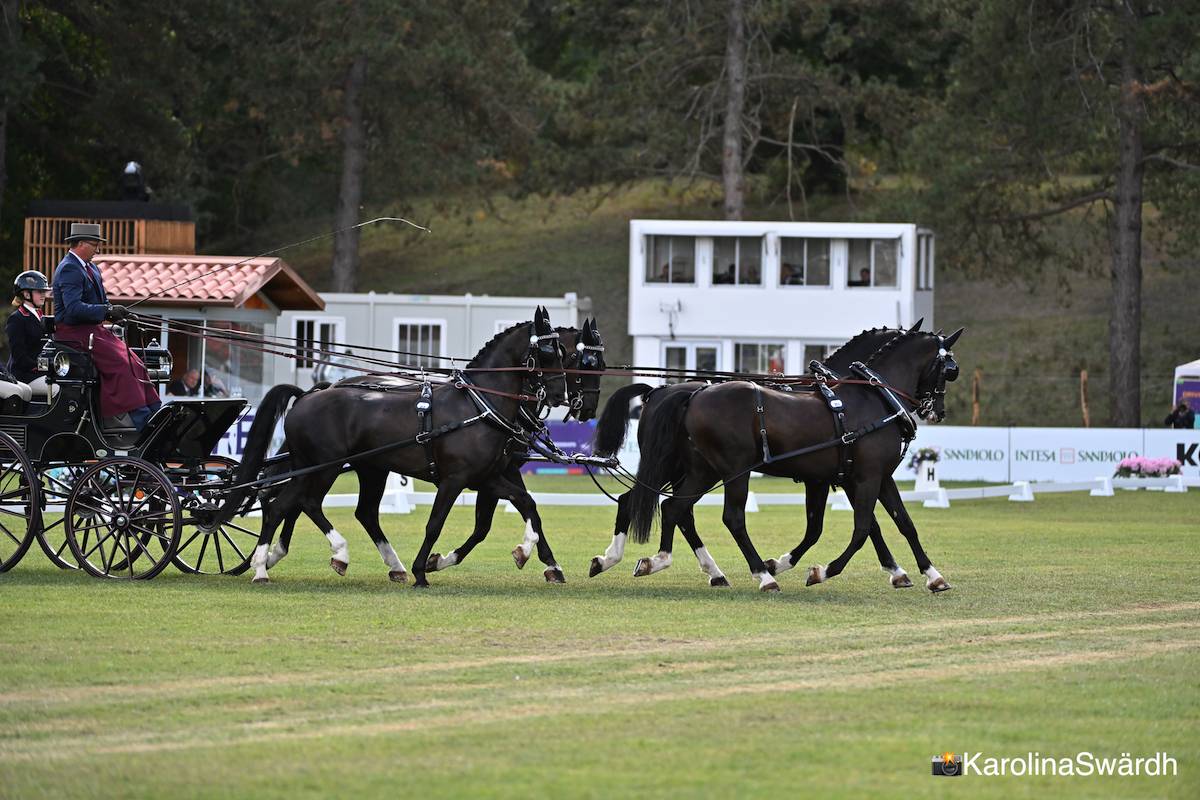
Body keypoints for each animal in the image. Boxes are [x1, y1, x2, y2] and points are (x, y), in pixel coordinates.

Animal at [213, 307, 568, 587]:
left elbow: (525, 504)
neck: (478, 405)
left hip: (340, 468)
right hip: (324, 467)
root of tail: (306, 396)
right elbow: (435, 523)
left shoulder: (486, 477)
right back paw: (296, 561)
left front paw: (534, 554)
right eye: (549, 352)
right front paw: (422, 570)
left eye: (565, 354)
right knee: (296, 503)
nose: (560, 395)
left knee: (295, 505)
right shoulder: (455, 479)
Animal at [624, 328, 960, 592]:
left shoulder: (868, 477)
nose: (938, 411)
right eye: (949, 369)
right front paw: (822, 571)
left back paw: (662, 561)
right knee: (731, 518)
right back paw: (762, 576)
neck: (873, 399)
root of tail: (693, 396)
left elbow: (902, 523)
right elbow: (863, 528)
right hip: (734, 471)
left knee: (673, 507)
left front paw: (930, 575)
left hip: (702, 470)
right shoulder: (864, 478)